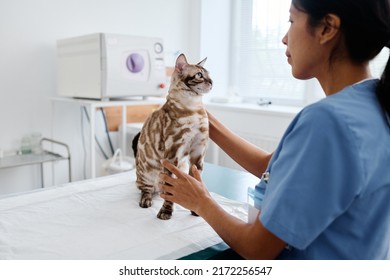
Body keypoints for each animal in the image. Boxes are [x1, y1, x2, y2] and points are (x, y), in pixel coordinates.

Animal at [134, 52, 213, 219]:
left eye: (209, 75)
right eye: (199, 75)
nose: (212, 82)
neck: (194, 108)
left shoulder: (198, 152)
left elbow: (197, 182)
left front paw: (196, 209)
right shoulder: (173, 153)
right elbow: (170, 193)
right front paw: (165, 212)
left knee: (163, 190)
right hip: (146, 173)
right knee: (146, 190)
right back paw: (146, 201)